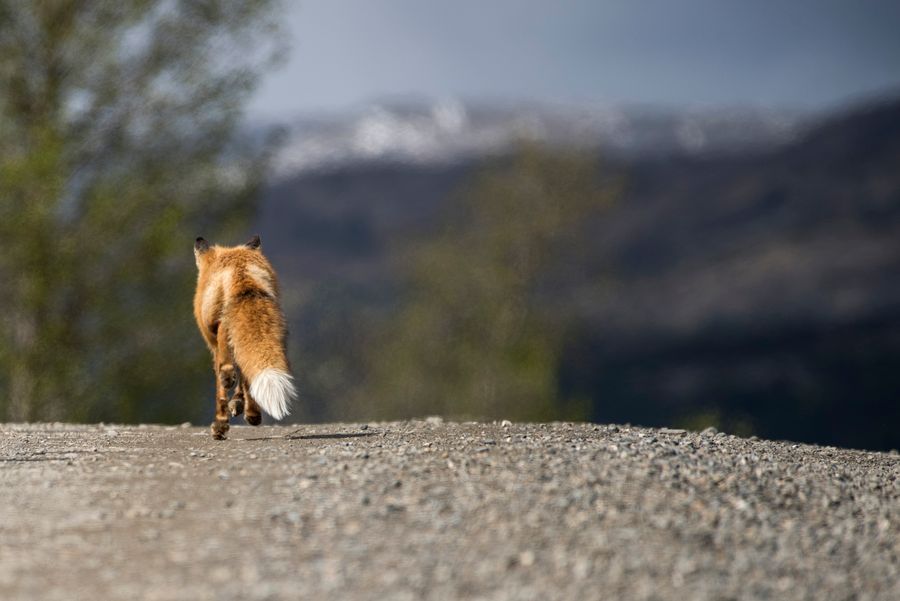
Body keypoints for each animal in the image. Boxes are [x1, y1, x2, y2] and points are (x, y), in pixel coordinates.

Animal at [192, 232, 298, 438]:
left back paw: (222, 424)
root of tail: (243, 273)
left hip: (223, 331)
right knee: (249, 370)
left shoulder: (214, 344)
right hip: (277, 332)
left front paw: (227, 416)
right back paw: (253, 414)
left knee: (225, 373)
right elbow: (245, 376)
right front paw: (240, 404)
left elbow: (226, 381)